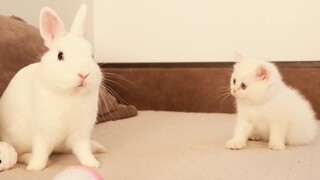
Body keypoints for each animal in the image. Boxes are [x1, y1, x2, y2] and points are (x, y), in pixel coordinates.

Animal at [0, 3, 105, 170]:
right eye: (60, 55)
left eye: (91, 55)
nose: (83, 74)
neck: (70, 94)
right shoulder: (43, 132)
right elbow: (41, 151)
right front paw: (35, 167)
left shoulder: (80, 133)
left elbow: (83, 150)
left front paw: (92, 164)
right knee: (20, 154)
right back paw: (31, 160)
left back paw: (97, 147)